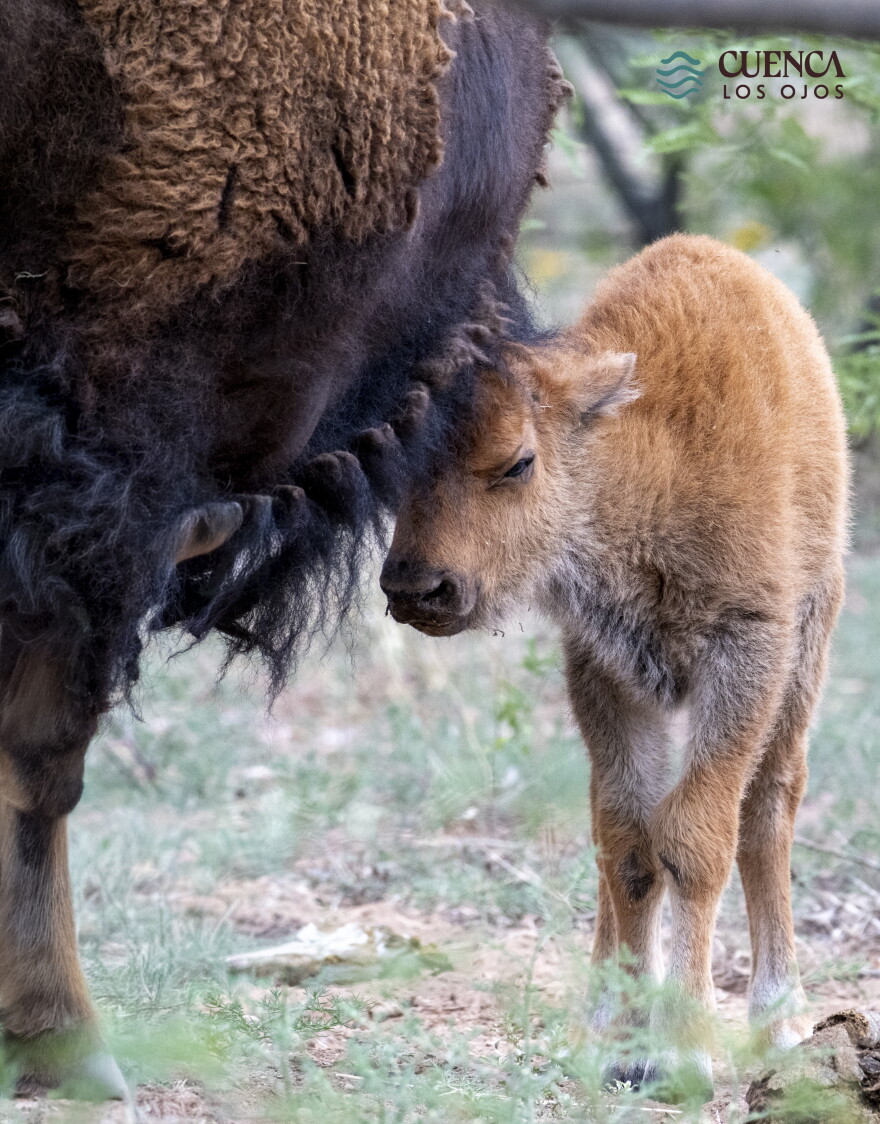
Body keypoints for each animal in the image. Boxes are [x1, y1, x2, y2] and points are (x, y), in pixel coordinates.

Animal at [381, 234, 850, 1100]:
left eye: (518, 463)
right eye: (403, 470)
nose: (417, 587)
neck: (638, 460)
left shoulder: (747, 654)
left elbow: (695, 839)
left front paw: (688, 1053)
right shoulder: (604, 671)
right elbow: (629, 845)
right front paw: (625, 1047)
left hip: (810, 644)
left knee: (769, 810)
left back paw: (779, 1022)